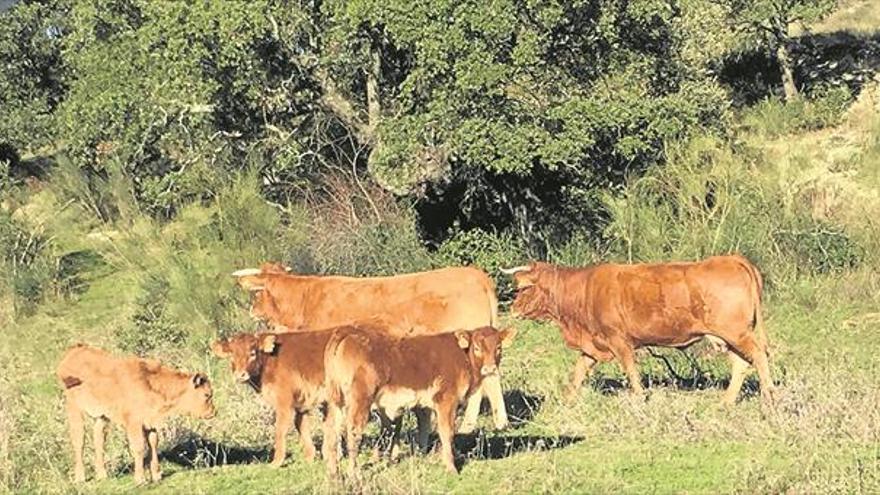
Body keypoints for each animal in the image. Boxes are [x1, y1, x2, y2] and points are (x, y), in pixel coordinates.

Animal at [57, 344, 215, 484]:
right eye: (207, 395)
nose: (213, 412)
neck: (151, 383)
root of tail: (74, 351)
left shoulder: (150, 423)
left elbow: (153, 445)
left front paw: (156, 475)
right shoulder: (134, 423)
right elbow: (138, 447)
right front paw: (140, 479)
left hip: (102, 417)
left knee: (99, 441)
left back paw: (102, 475)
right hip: (74, 409)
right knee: (78, 441)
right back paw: (80, 478)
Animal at [211, 332, 332, 466]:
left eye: (252, 353)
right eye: (232, 354)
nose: (240, 375)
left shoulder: (284, 402)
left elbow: (280, 428)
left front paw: (277, 461)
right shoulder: (301, 402)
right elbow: (301, 425)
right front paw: (309, 457)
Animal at [324, 328, 516, 474]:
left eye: (498, 347)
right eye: (476, 348)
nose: (490, 368)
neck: (463, 357)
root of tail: (348, 333)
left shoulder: (426, 404)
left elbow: (424, 428)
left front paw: (424, 455)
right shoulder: (446, 400)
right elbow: (446, 432)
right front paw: (451, 466)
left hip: (337, 400)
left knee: (332, 428)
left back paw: (334, 470)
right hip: (360, 400)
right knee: (353, 431)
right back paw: (353, 472)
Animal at [502, 254, 776, 404]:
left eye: (524, 287)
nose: (513, 309)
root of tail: (731, 258)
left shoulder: (618, 340)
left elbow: (631, 372)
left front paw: (640, 397)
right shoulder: (593, 344)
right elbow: (578, 373)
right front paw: (566, 400)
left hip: (736, 333)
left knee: (758, 355)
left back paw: (770, 395)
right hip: (727, 337)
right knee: (741, 364)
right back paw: (725, 402)